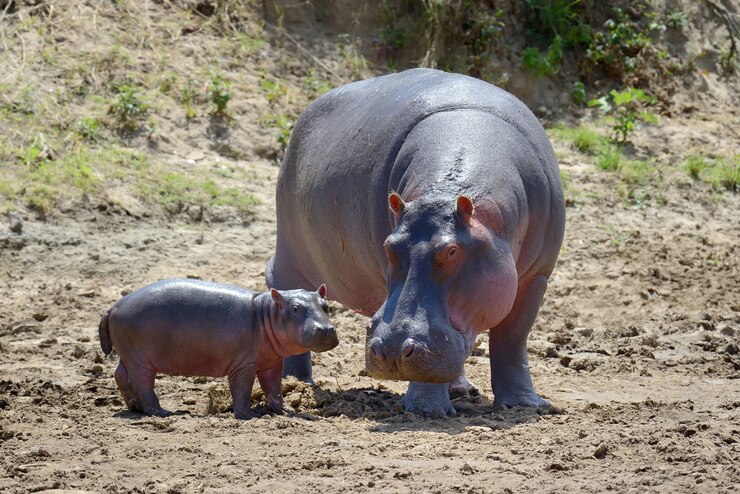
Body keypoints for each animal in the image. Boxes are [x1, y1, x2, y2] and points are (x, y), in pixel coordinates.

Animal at [98, 279, 337, 419]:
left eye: (326, 306)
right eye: (295, 308)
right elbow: (242, 389)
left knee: (120, 375)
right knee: (140, 383)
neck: (265, 313)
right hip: (140, 360)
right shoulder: (244, 365)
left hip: (127, 355)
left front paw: (287, 411)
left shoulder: (272, 362)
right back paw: (163, 412)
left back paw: (134, 408)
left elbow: (274, 389)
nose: (326, 329)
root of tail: (113, 307)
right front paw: (247, 415)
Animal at [266, 68, 564, 417]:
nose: (392, 350)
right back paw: (297, 384)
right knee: (286, 290)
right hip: (290, 252)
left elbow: (512, 339)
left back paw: (461, 389)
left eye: (452, 250)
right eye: (389, 246)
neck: (445, 192)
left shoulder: (536, 277)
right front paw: (426, 410)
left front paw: (525, 405)